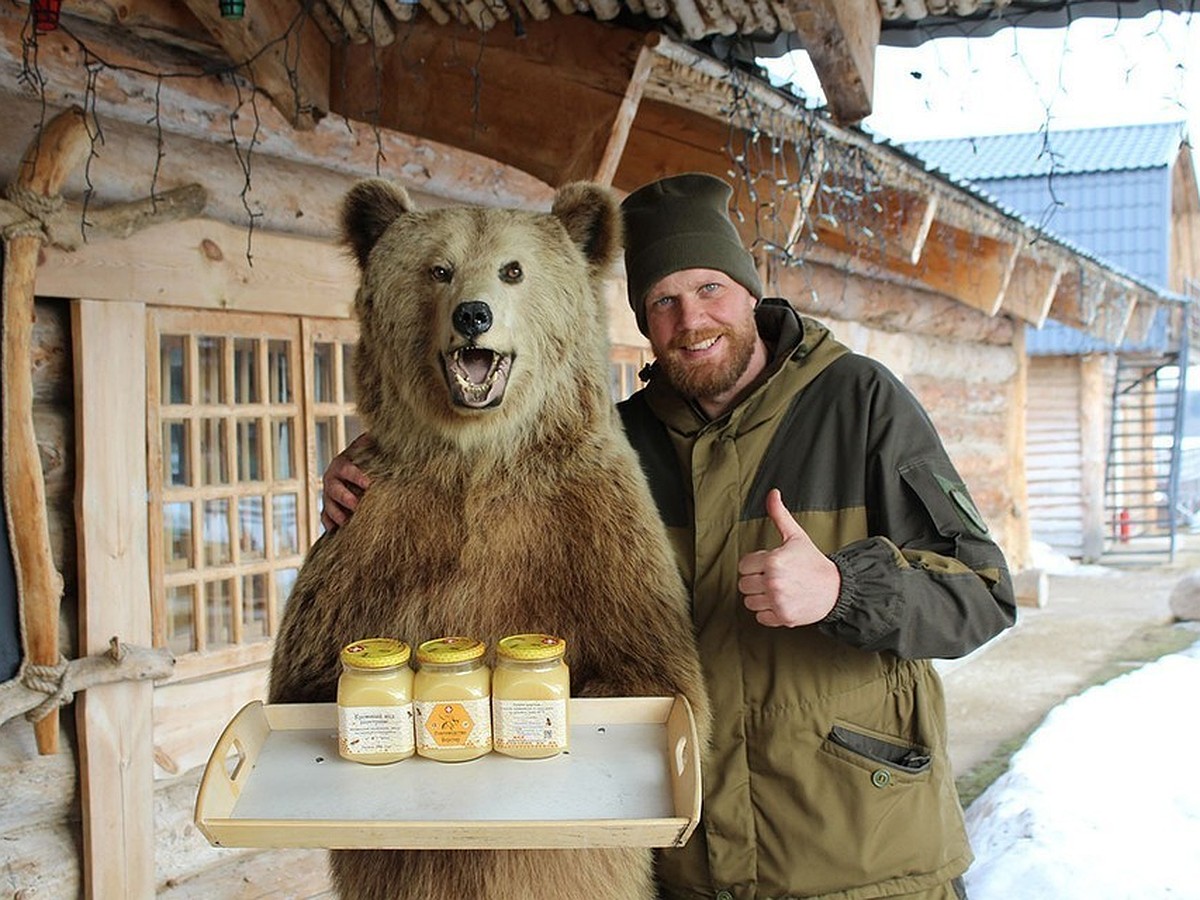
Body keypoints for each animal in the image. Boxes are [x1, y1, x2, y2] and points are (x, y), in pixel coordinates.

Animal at [267, 177, 705, 900]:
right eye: (438, 269)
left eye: (513, 269)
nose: (473, 315)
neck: (477, 456)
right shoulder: (373, 527)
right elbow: (301, 678)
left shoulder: (597, 521)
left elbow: (655, 675)